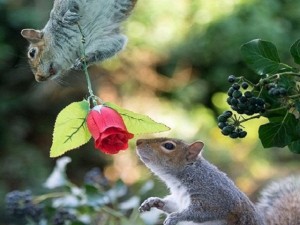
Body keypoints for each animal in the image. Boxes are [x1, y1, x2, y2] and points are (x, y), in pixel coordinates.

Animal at [137, 137, 300, 225]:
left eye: (169, 146)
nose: (138, 141)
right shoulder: (179, 200)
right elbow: (173, 205)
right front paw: (152, 202)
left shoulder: (215, 197)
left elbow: (202, 212)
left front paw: (175, 217)